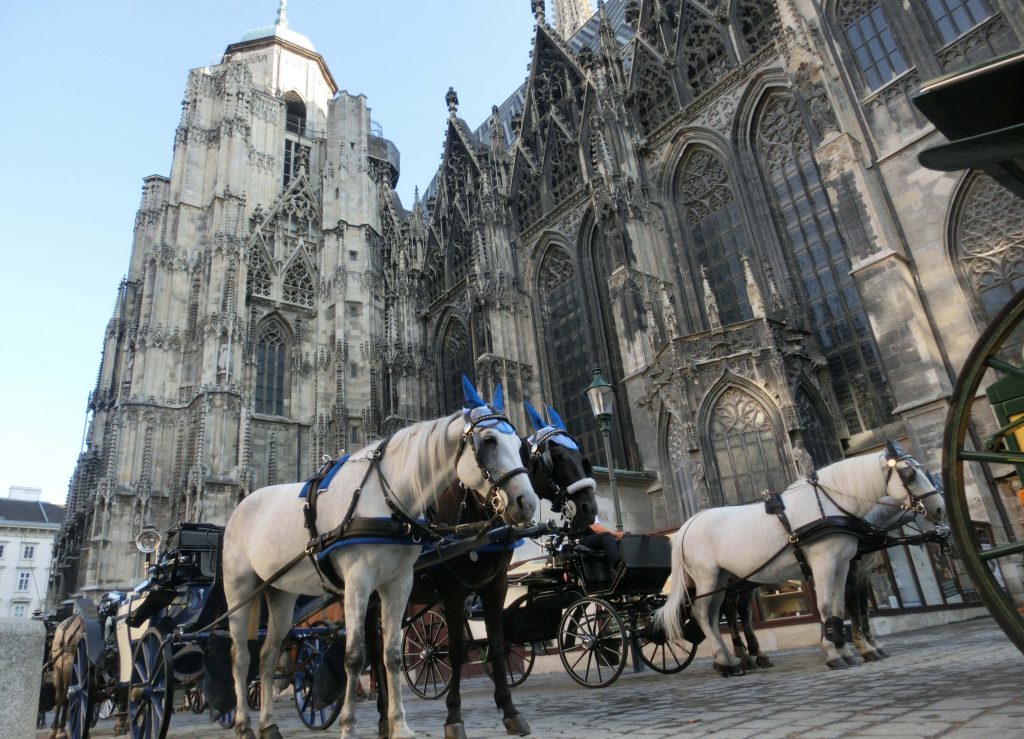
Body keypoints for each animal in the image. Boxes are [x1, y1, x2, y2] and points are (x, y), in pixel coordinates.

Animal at [221, 380, 540, 736]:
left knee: (268, 654)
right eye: (488, 441)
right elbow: (355, 656)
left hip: (281, 592)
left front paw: (400, 726)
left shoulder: (403, 583)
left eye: (522, 446)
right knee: (239, 657)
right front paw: (349, 726)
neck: (386, 498)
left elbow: (394, 654)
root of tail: (245, 502)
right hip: (240, 589)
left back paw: (269, 725)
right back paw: (243, 724)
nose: (527, 503)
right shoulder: (372, 583)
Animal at [655, 444, 942, 675]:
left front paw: (847, 650)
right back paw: (729, 661)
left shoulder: (844, 564)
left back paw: (730, 660)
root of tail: (687, 524)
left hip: (725, 579)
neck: (829, 504)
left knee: (718, 615)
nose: (939, 509)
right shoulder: (827, 562)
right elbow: (829, 606)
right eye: (910, 474)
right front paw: (836, 653)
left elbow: (840, 608)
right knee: (703, 613)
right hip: (708, 576)